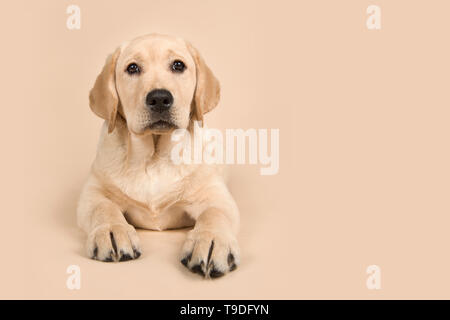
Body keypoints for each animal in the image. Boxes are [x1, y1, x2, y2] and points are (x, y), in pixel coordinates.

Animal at [76, 33, 239, 278]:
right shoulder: (92, 193)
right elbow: (103, 208)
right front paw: (112, 231)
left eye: (178, 65)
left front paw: (211, 241)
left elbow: (215, 214)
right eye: (132, 68)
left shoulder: (216, 196)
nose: (160, 98)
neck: (153, 159)